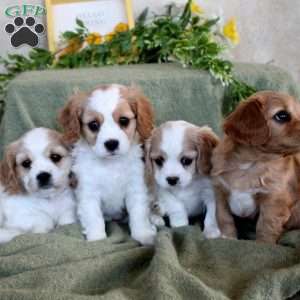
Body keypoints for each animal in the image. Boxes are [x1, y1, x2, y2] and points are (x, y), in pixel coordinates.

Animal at [59, 83, 157, 245]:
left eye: (123, 120)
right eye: (93, 124)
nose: (111, 143)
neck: (111, 165)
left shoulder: (135, 189)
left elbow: (138, 215)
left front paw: (144, 235)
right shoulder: (88, 194)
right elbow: (94, 219)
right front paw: (97, 240)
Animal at [211, 90, 300, 243]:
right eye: (282, 115)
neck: (250, 163)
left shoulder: (273, 201)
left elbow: (266, 227)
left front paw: (263, 244)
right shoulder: (220, 193)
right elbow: (224, 219)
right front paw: (228, 238)